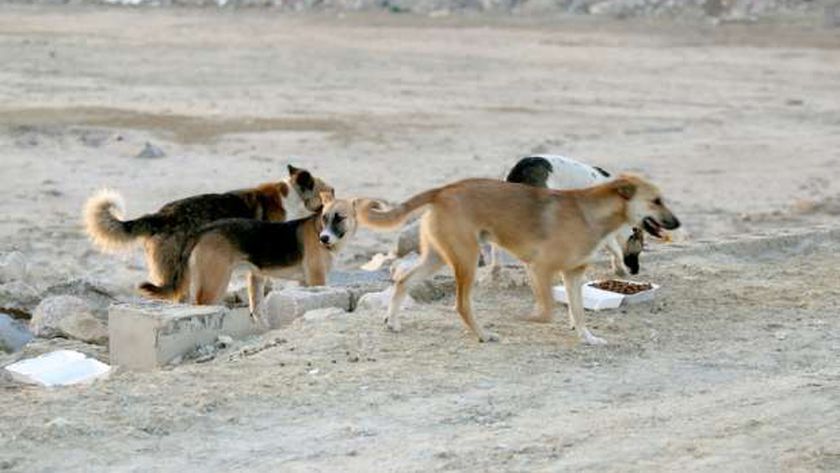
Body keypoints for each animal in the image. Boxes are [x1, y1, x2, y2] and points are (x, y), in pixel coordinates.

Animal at [141, 190, 358, 316]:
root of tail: (203, 230)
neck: (316, 229)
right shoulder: (317, 280)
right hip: (215, 284)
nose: (324, 239)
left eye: (339, 218)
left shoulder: (304, 283)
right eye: (324, 218)